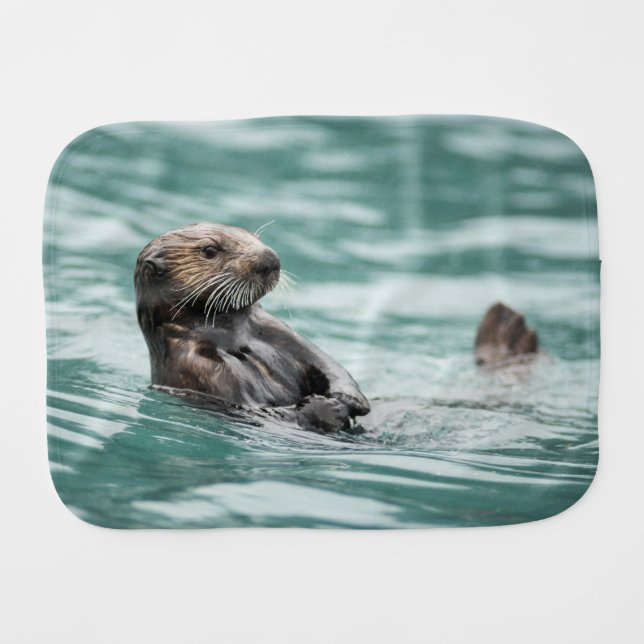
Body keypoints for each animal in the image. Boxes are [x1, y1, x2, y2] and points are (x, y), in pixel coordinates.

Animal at [135, 222, 538, 434]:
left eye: (253, 235)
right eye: (209, 250)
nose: (270, 258)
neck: (234, 337)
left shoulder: (276, 330)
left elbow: (329, 364)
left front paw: (348, 399)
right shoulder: (199, 368)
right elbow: (262, 412)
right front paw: (327, 410)